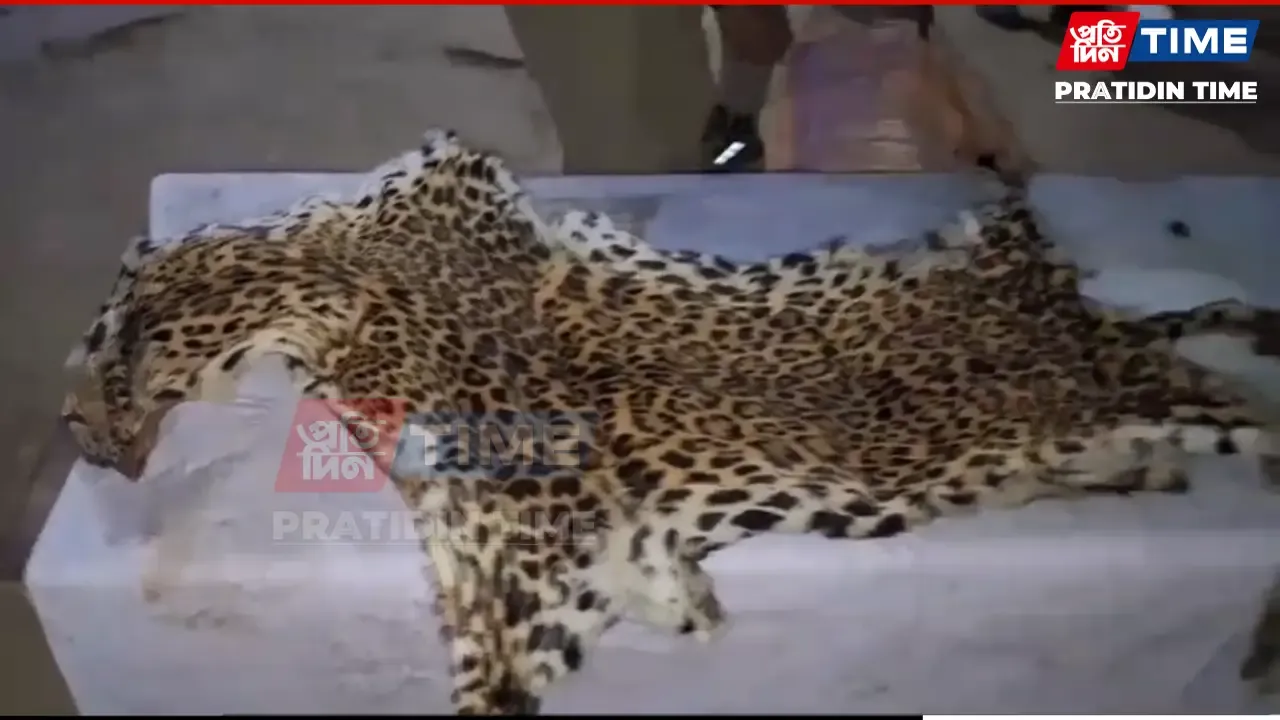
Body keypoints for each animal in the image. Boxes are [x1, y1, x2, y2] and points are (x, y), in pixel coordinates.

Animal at [62, 128, 1280, 714]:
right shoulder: (560, 569)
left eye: (80, 418)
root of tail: (1063, 307)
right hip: (1082, 399)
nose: (94, 452)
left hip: (1126, 381)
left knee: (1233, 402)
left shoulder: (527, 576)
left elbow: (496, 665)